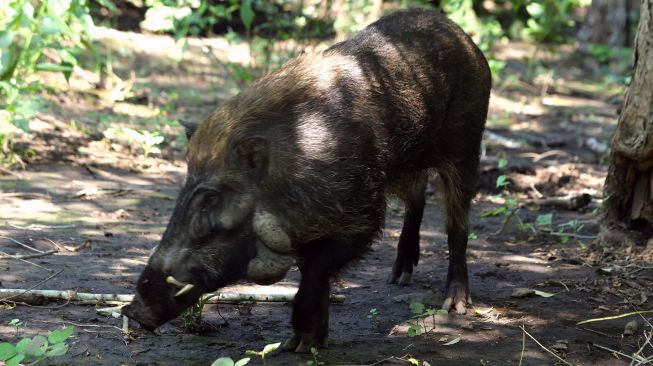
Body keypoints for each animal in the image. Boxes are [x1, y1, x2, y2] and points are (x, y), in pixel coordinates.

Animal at [122, 7, 488, 352]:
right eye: (182, 190)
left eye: (211, 199)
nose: (132, 311)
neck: (290, 173)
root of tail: (461, 36)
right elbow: (312, 271)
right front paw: (304, 343)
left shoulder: (364, 214)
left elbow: (316, 270)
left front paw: (298, 345)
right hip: (406, 164)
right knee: (417, 197)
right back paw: (398, 278)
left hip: (466, 144)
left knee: (457, 224)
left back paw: (454, 305)